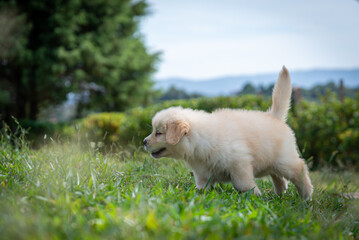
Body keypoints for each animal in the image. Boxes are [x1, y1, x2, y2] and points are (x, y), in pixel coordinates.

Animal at [145, 66, 314, 200]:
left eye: (158, 133)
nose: (144, 142)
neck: (199, 140)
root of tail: (274, 116)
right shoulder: (202, 174)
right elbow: (201, 188)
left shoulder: (239, 164)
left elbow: (243, 185)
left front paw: (255, 196)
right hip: (272, 160)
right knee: (278, 176)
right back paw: (280, 193)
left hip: (284, 160)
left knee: (299, 169)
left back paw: (306, 196)